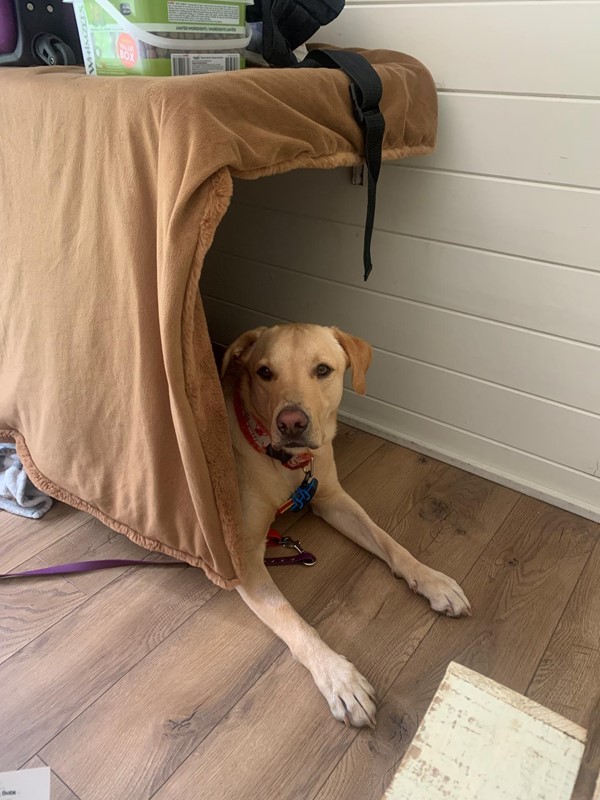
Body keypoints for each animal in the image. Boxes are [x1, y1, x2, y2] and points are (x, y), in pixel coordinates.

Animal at [220, 324, 468, 724]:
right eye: (264, 372)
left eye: (322, 370)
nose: (291, 422)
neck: (287, 465)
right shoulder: (243, 556)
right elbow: (293, 620)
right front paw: (339, 677)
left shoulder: (334, 499)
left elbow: (389, 541)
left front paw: (432, 579)